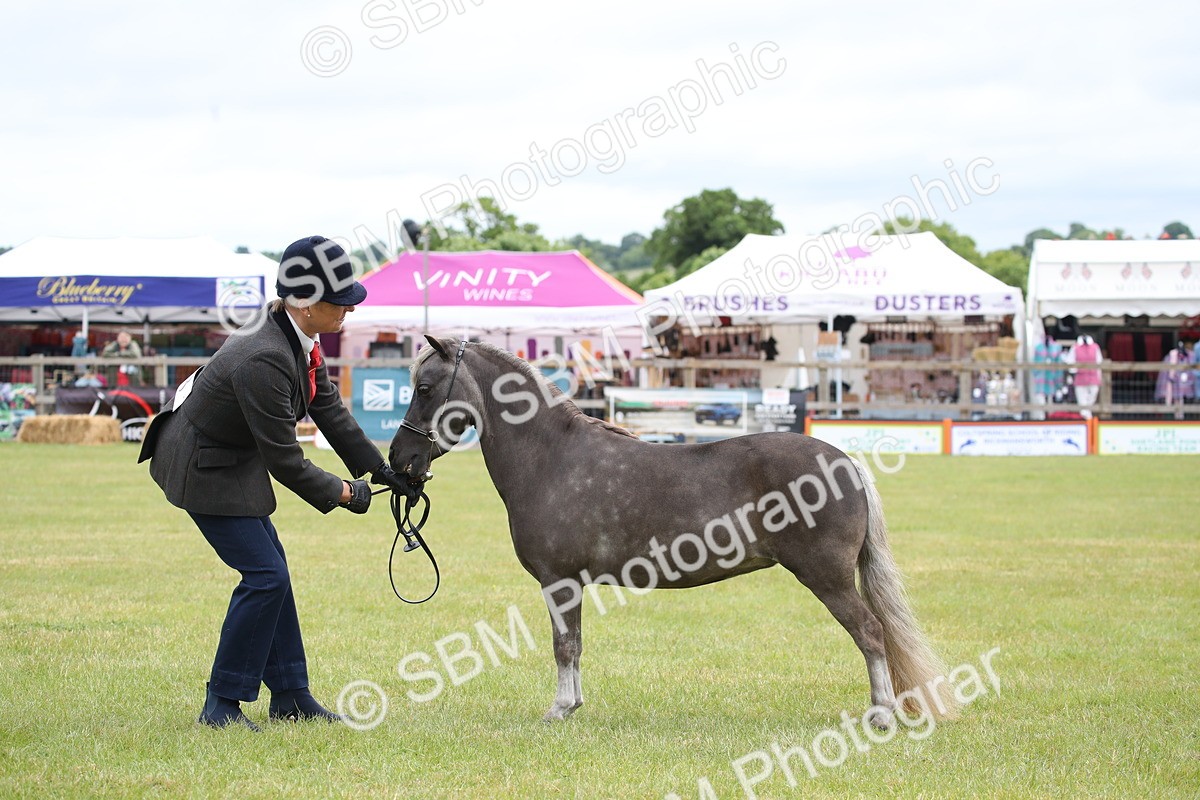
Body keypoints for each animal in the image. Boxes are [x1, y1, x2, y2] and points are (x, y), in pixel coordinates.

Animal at [388, 336, 958, 727]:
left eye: (424, 387)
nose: (400, 459)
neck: (550, 456)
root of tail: (846, 461)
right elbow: (576, 644)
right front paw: (573, 704)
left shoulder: (559, 580)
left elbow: (563, 645)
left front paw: (559, 709)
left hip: (829, 578)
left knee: (870, 633)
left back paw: (881, 714)